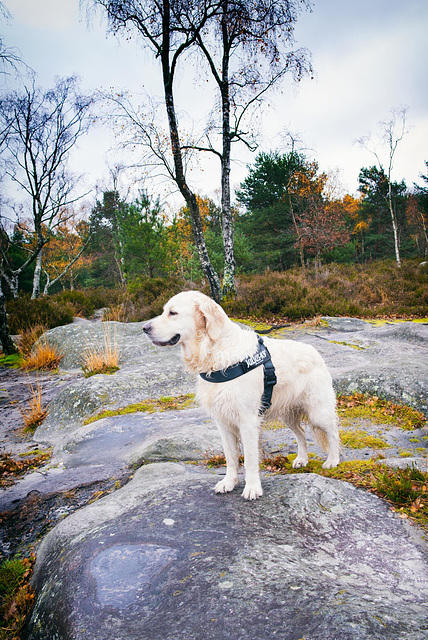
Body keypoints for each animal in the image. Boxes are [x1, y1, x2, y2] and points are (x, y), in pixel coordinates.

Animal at [142, 290, 340, 500]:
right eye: (164, 311)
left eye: (173, 312)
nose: (144, 328)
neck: (215, 351)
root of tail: (315, 352)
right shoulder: (223, 422)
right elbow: (231, 457)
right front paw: (228, 482)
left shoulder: (248, 421)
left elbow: (251, 459)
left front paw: (252, 487)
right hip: (288, 414)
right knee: (301, 433)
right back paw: (301, 459)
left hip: (318, 411)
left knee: (333, 432)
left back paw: (332, 460)